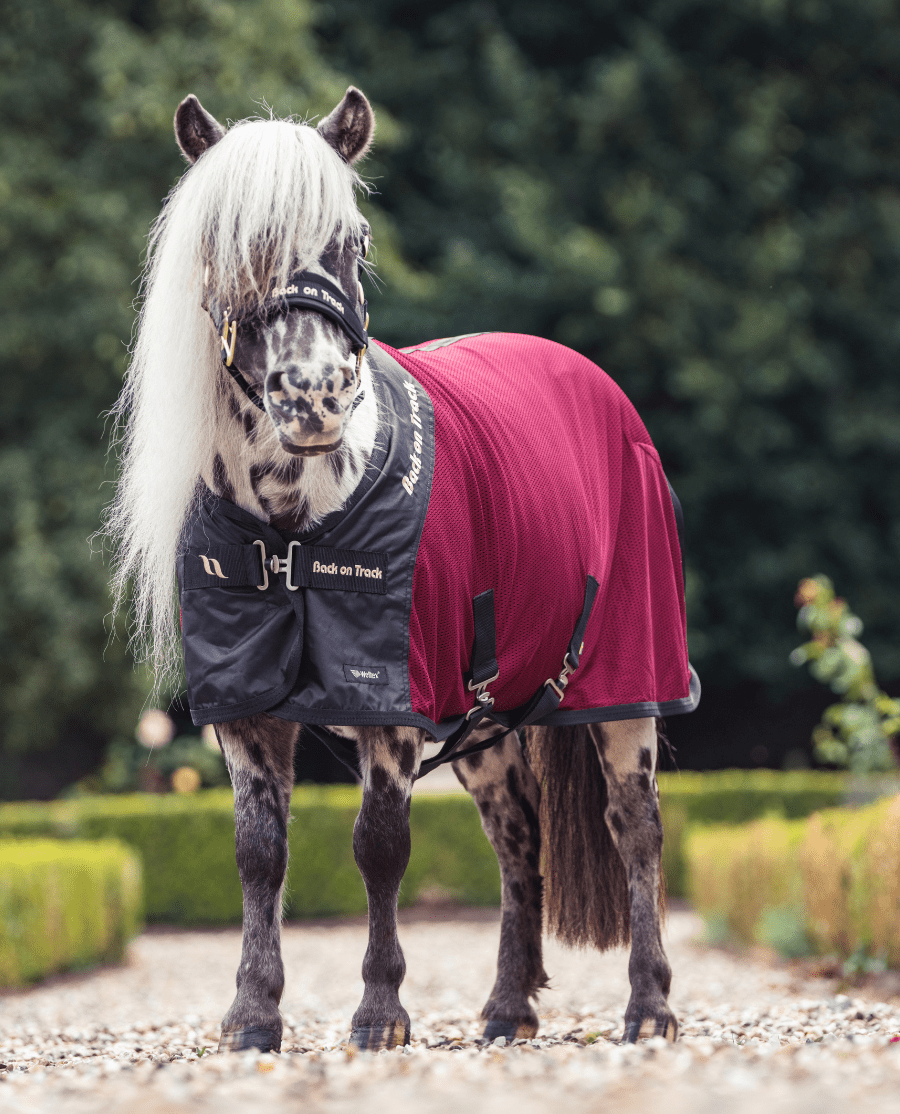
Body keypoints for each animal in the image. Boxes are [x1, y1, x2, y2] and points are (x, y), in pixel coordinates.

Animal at [108, 87, 698, 1054]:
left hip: (626, 684)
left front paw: (380, 1014)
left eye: (351, 239)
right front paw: (253, 1017)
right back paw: (506, 1009)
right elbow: (259, 853)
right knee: (517, 840)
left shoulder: (392, 702)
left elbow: (379, 845)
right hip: (487, 723)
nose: (314, 397)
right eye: (231, 246)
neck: (294, 519)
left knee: (635, 827)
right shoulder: (246, 713)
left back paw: (648, 1006)